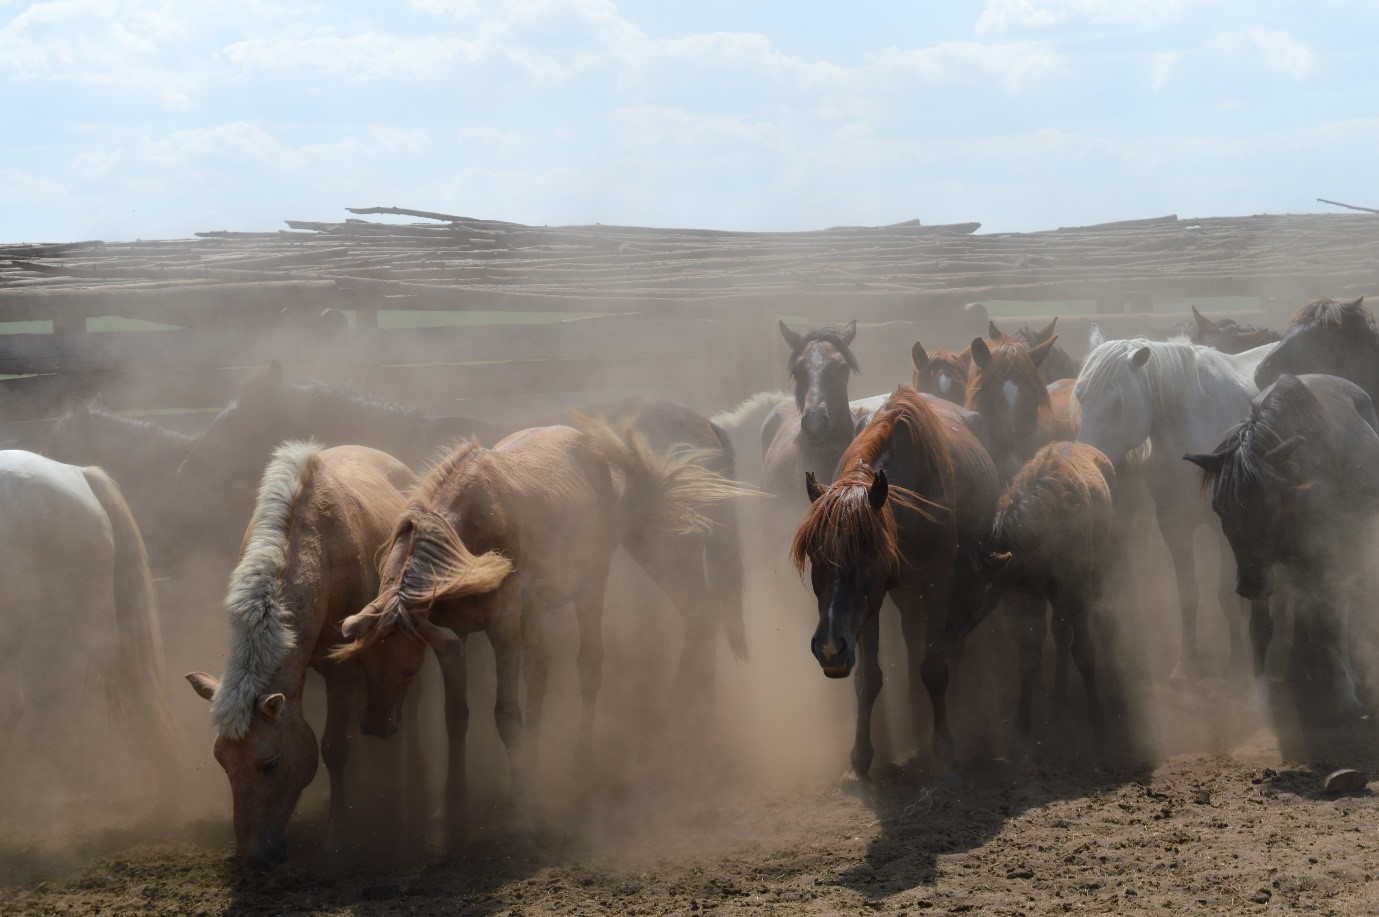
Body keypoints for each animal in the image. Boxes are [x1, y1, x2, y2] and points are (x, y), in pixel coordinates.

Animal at [185, 442, 419, 871]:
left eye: (271, 763)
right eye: (222, 761)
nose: (254, 857)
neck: (315, 549)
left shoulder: (342, 673)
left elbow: (335, 748)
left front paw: (338, 839)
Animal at [790, 386, 1000, 779]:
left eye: (868, 552)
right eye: (813, 553)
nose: (829, 647)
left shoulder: (937, 588)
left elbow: (935, 669)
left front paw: (944, 752)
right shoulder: (872, 603)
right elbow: (868, 678)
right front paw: (859, 758)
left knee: (951, 650)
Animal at [992, 442, 1116, 739]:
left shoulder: (1077, 587)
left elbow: (1084, 650)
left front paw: (1096, 715)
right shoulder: (1034, 595)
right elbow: (1029, 655)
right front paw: (1022, 722)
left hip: (1097, 571)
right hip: (1056, 595)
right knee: (1061, 631)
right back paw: (1058, 697)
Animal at [1072, 336, 1278, 678]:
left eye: (1118, 404)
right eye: (1080, 395)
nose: (1085, 461)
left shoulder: (1224, 529)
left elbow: (1224, 593)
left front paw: (1237, 661)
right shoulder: (1174, 526)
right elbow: (1188, 594)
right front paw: (1186, 664)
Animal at [1184, 373, 1379, 715]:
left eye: (1270, 503)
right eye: (1220, 508)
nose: (1248, 585)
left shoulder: (1326, 554)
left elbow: (1334, 617)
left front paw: (1345, 691)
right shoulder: (1262, 568)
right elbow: (1261, 627)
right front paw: (1259, 694)